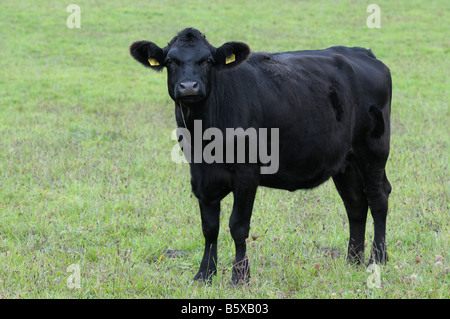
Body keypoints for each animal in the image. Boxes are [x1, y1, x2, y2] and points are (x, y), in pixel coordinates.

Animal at [129, 28, 390, 284]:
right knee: (355, 203)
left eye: (208, 61)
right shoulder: (201, 175)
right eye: (171, 61)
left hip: (374, 151)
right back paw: (353, 260)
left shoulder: (247, 173)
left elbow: (238, 226)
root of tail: (363, 53)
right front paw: (204, 274)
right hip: (346, 162)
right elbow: (209, 227)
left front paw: (240, 277)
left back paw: (377, 259)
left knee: (378, 198)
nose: (189, 86)